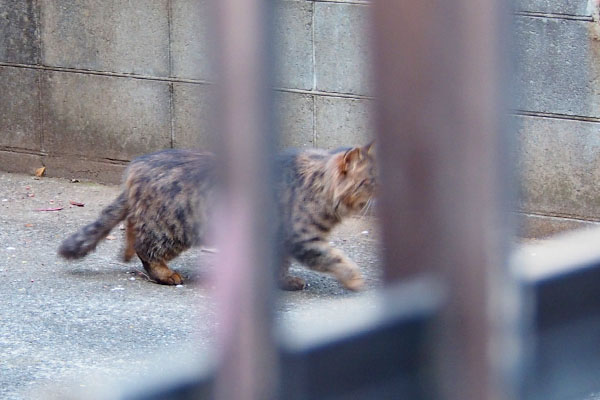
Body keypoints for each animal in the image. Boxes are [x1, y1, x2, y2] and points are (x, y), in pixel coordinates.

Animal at [57, 144, 376, 290]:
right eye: (370, 181)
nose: (382, 191)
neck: (318, 184)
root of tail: (136, 167)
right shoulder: (303, 238)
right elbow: (335, 258)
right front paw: (355, 279)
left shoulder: (279, 241)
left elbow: (279, 266)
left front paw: (283, 281)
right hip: (172, 229)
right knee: (145, 248)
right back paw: (165, 274)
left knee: (131, 229)